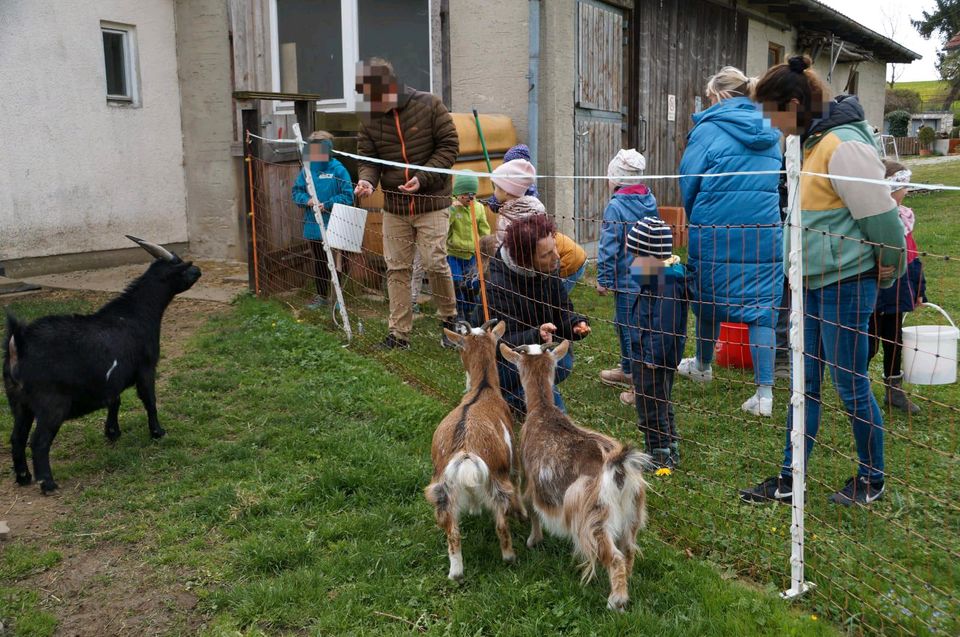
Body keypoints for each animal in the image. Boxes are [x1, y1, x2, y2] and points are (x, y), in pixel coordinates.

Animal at [3, 237, 202, 492]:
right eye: (182, 267)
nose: (199, 270)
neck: (135, 313)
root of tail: (19, 343)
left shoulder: (111, 379)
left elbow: (114, 401)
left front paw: (112, 432)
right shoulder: (146, 368)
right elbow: (149, 399)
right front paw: (158, 432)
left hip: (18, 402)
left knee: (16, 437)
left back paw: (23, 477)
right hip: (51, 404)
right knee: (38, 441)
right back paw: (47, 483)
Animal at [424, 318, 520, 580]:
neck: (484, 388)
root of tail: (466, 451)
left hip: (441, 489)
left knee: (452, 532)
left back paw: (456, 573)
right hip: (499, 481)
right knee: (501, 523)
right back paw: (509, 557)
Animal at [498, 340, 648, 608]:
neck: (542, 410)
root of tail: (619, 469)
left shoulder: (530, 482)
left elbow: (532, 509)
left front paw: (533, 540)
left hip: (594, 516)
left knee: (615, 556)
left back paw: (616, 600)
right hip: (633, 512)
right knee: (629, 549)